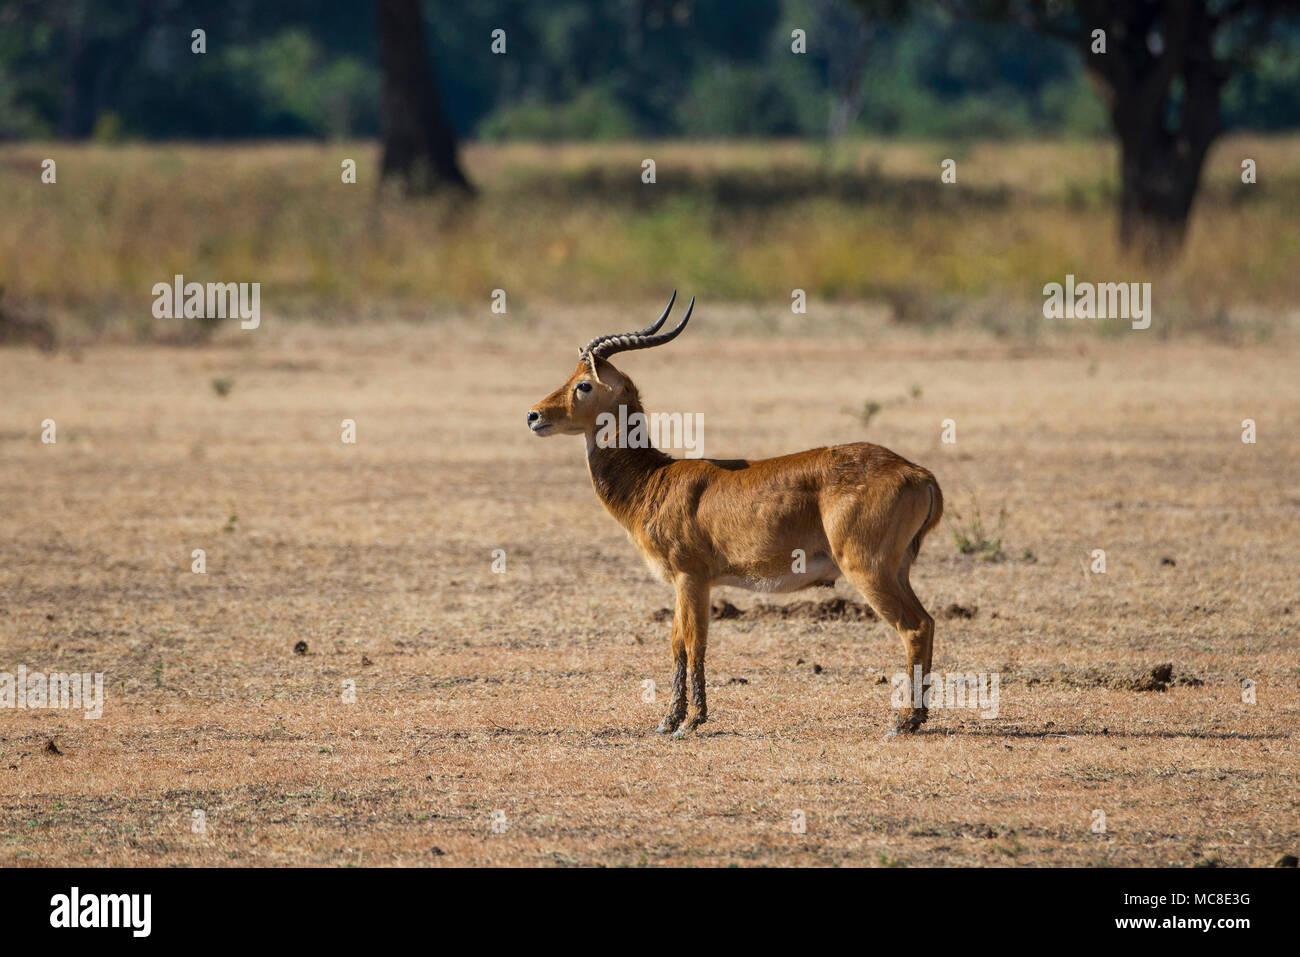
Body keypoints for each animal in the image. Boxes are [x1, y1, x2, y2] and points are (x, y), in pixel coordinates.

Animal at [527, 295, 946, 738]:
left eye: (584, 384)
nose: (534, 416)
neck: (654, 480)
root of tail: (917, 472)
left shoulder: (691, 577)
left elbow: (694, 643)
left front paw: (691, 721)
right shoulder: (684, 582)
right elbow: (676, 643)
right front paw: (668, 720)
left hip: (867, 570)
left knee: (914, 627)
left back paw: (902, 721)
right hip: (896, 570)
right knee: (929, 622)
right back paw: (917, 717)